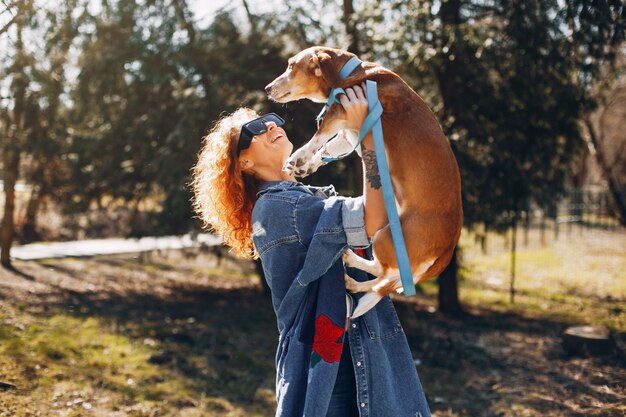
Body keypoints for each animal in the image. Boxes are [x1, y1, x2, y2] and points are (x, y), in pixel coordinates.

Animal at [264, 47, 464, 316]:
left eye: (292, 66)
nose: (267, 88)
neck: (350, 73)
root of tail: (447, 249)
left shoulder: (339, 114)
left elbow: (318, 138)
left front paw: (299, 158)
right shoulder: (347, 133)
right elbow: (328, 147)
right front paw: (307, 165)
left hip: (384, 237)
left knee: (383, 272)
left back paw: (352, 263)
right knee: (386, 281)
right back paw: (355, 283)